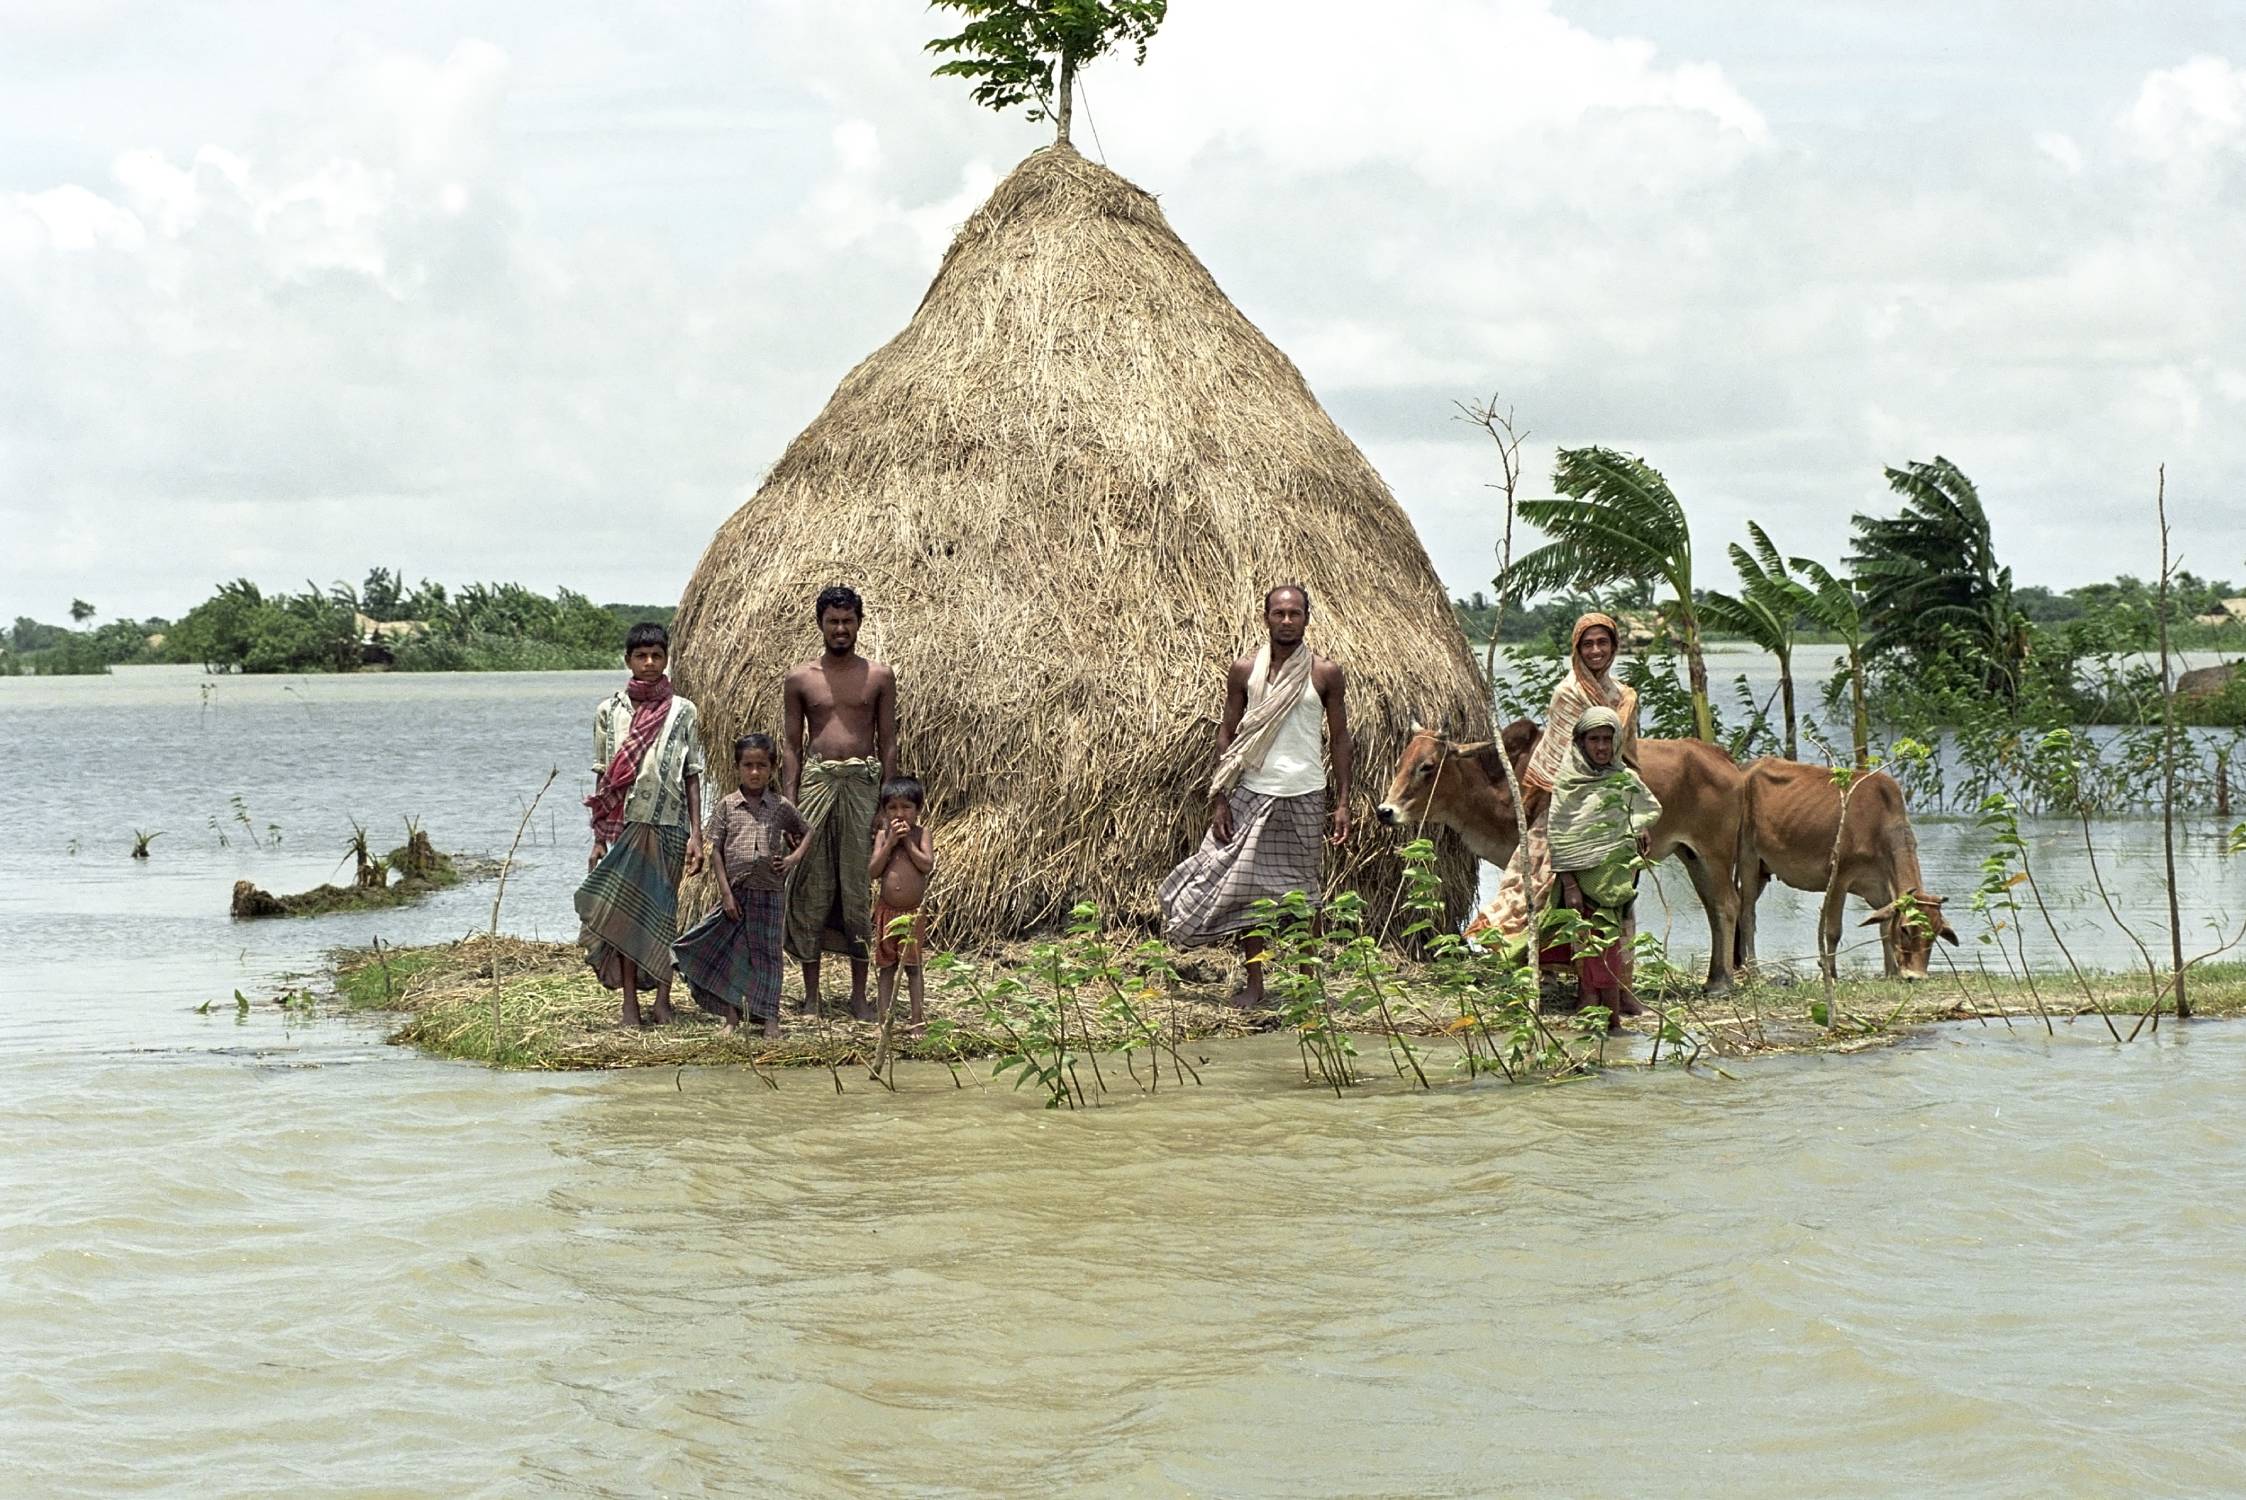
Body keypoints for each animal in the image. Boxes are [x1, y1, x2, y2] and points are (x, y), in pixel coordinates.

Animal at [1365, 718, 1751, 988]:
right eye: (1400, 762)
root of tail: (1722, 757)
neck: (1505, 787)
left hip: (1715, 852)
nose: (1385, 811)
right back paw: (1713, 977)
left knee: (1727, 905)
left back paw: (1722, 983)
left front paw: (1545, 975)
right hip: (1692, 855)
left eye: (1427, 766)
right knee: (1713, 908)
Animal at [1724, 754, 1958, 979]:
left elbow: (1883, 928)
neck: (1879, 826)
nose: (1916, 976)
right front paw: (1830, 973)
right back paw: (1753, 968)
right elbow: (1833, 931)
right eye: (1906, 929)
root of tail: (1744, 768)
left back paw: (1741, 965)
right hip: (1748, 857)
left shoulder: (1883, 892)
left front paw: (1890, 972)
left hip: (1763, 869)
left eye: (1935, 934)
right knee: (1747, 914)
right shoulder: (1839, 878)